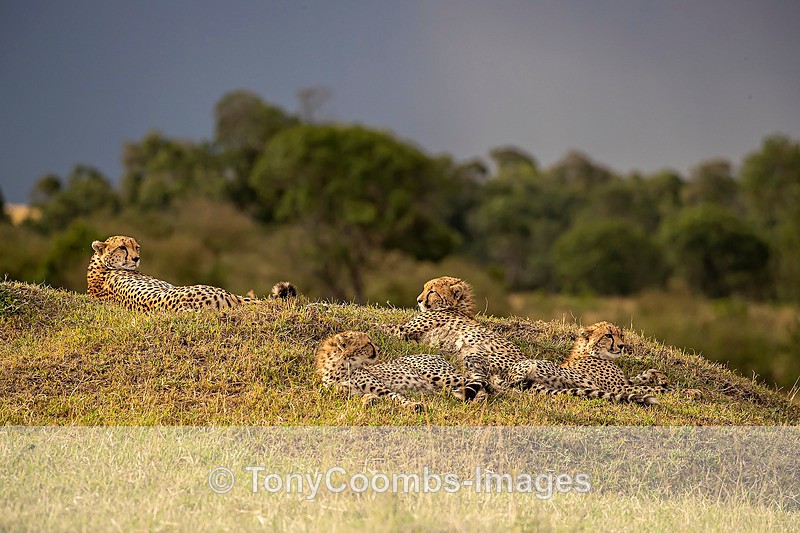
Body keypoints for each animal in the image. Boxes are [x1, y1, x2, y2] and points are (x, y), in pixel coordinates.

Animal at [315, 330, 466, 411]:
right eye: (368, 343)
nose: (378, 349)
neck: (341, 369)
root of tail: (436, 355)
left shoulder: (384, 390)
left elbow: (397, 397)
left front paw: (413, 406)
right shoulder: (345, 393)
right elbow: (356, 396)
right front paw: (369, 399)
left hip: (441, 376)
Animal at [382, 276, 656, 405]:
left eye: (431, 291)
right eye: (424, 289)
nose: (418, 300)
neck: (455, 307)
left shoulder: (406, 330)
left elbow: (387, 327)